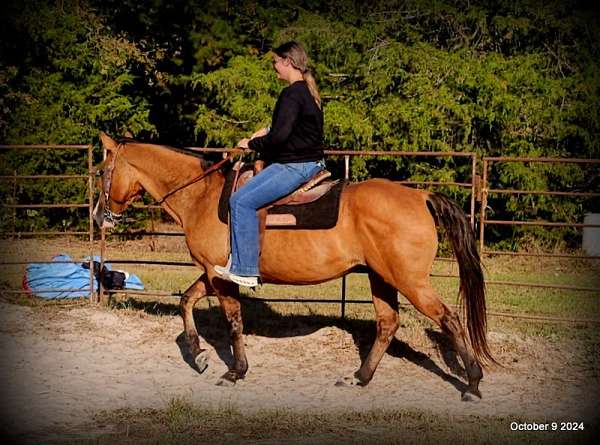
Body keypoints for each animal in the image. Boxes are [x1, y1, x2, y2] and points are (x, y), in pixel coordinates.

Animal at [95, 131, 496, 398]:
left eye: (100, 171)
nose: (99, 216)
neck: (202, 195)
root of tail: (421, 195)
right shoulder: (213, 273)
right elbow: (186, 301)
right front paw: (197, 353)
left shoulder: (220, 277)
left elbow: (233, 321)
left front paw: (235, 371)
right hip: (382, 278)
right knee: (387, 324)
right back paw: (360, 377)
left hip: (411, 281)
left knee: (449, 319)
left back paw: (473, 383)